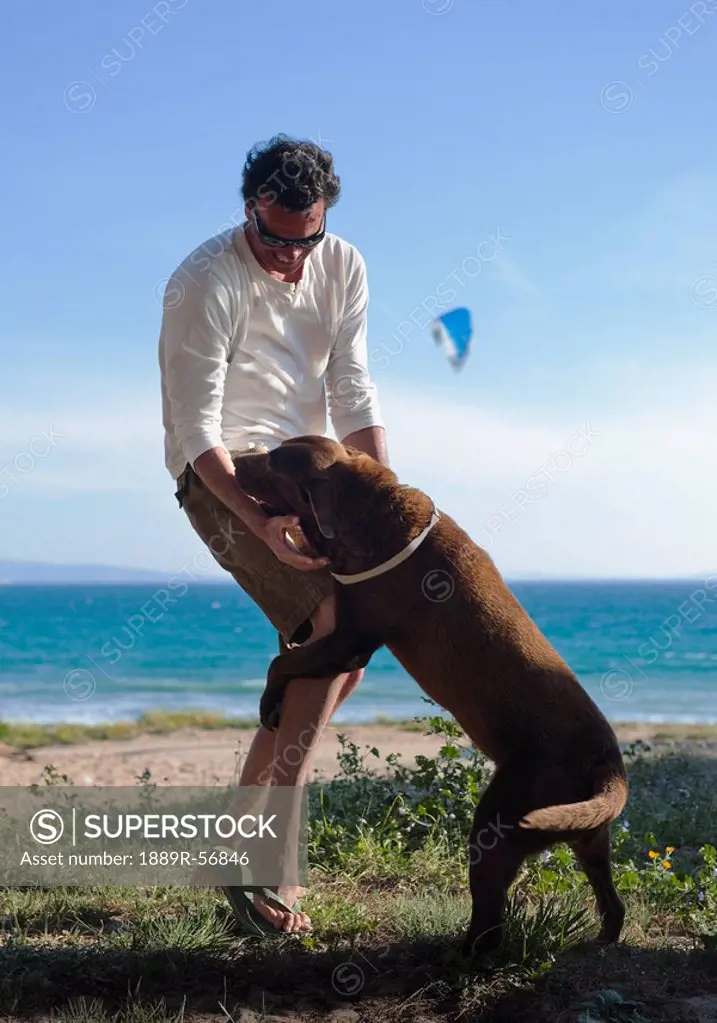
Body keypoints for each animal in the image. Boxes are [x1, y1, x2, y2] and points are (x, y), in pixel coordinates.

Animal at [231, 437, 625, 957]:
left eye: (275, 462)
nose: (234, 460)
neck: (372, 515)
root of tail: (608, 762)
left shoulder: (350, 641)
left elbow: (282, 663)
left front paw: (269, 701)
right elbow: (287, 659)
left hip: (501, 819)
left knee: (491, 916)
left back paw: (462, 954)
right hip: (587, 840)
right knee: (611, 902)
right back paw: (600, 942)